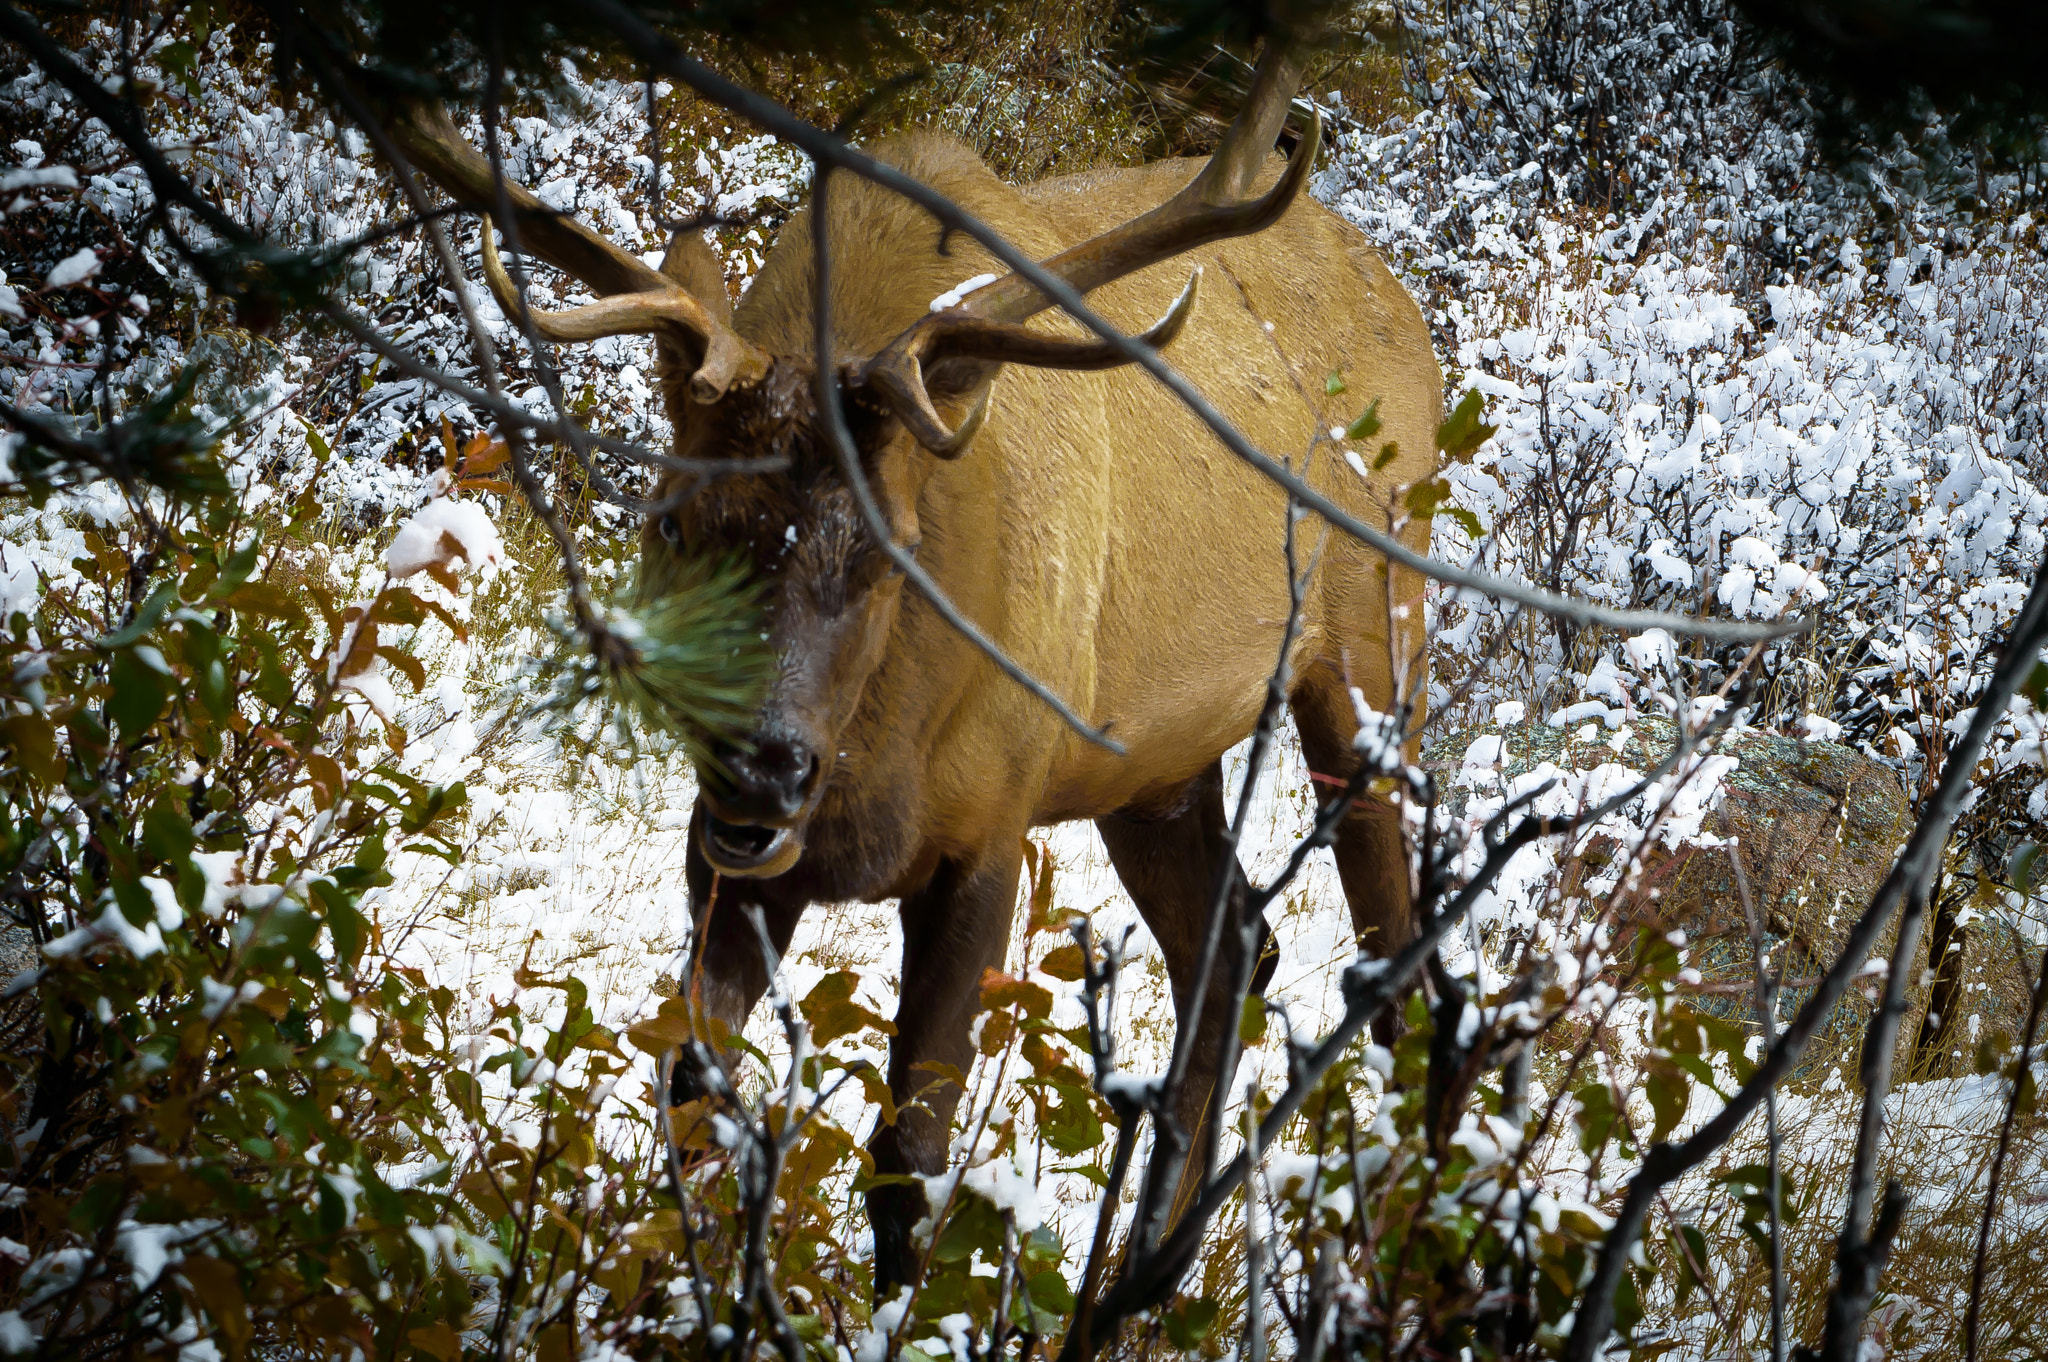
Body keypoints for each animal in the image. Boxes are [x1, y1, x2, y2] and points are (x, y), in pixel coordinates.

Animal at [387, 29, 1441, 1286]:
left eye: (889, 547)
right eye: (673, 522)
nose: (764, 765)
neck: (876, 760)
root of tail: (1407, 306)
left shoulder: (987, 830)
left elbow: (911, 1159)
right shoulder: (723, 852)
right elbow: (693, 1093)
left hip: (1369, 646)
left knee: (1392, 961)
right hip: (1147, 767)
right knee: (1235, 946)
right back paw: (1143, 1269)